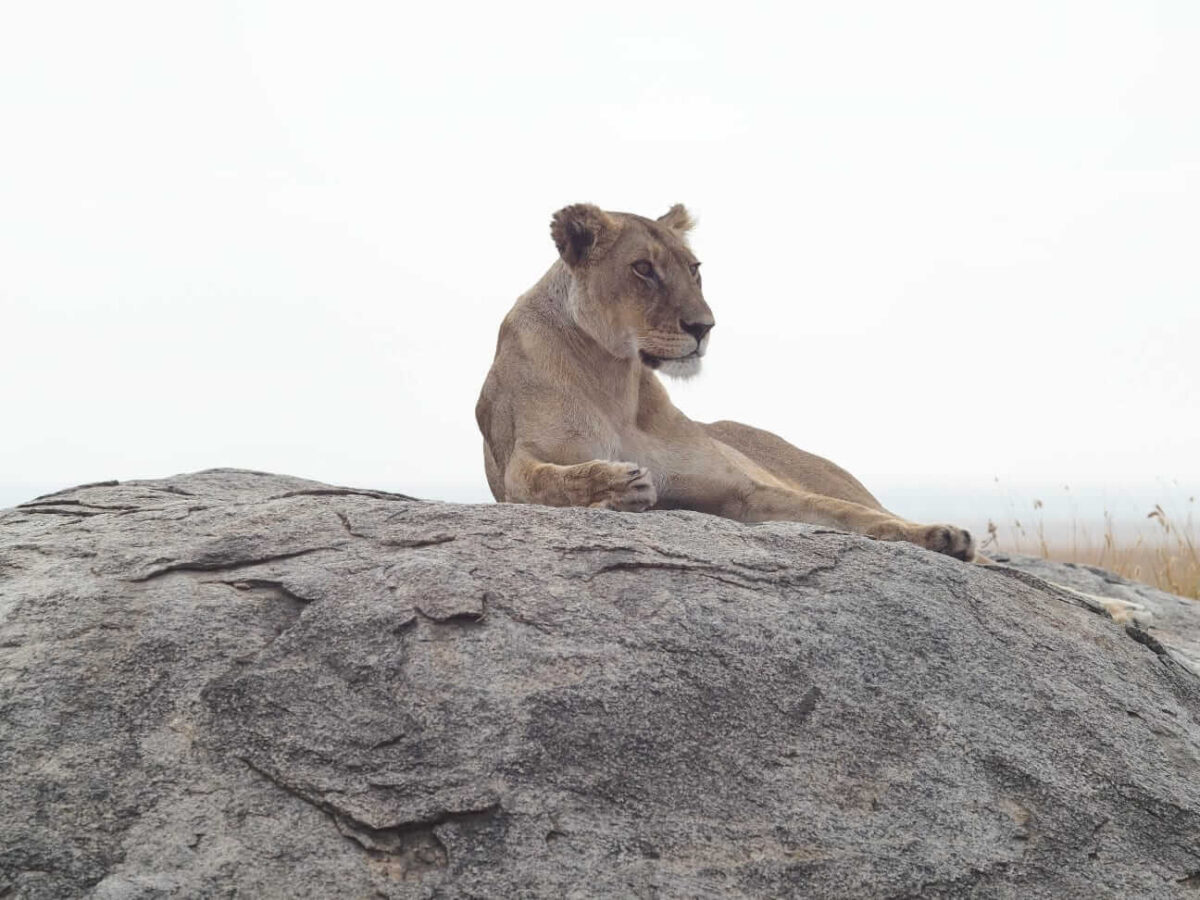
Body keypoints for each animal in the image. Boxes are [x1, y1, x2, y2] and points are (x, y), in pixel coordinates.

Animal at [475, 203, 976, 561]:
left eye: (694, 268)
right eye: (643, 268)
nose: (704, 327)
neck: (616, 379)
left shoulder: (743, 493)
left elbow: (843, 512)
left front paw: (938, 535)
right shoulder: (518, 465)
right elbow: (550, 480)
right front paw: (616, 484)